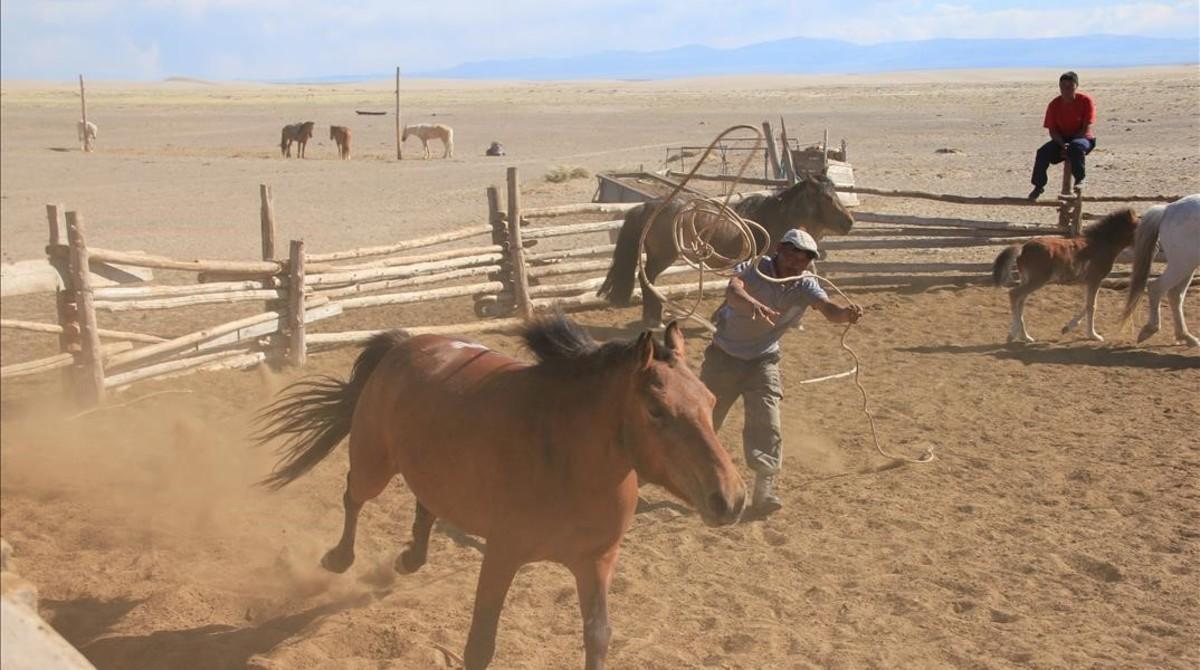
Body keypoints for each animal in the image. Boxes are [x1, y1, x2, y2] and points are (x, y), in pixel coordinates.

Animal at [258, 316, 744, 670]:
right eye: (656, 410)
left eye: (710, 399)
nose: (731, 498)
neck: (566, 458)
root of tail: (403, 344)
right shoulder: (501, 555)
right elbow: (481, 644)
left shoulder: (597, 561)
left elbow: (598, 637)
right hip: (373, 464)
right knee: (353, 496)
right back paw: (338, 558)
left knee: (425, 506)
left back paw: (410, 558)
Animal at [597, 176, 854, 328]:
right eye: (827, 197)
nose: (849, 222)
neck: (778, 220)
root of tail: (649, 205)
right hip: (662, 256)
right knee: (647, 278)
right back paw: (654, 319)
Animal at [993, 208, 1142, 345]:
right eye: (1139, 228)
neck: (1100, 245)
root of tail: (1023, 248)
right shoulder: (1095, 280)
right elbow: (1092, 306)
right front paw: (1093, 335)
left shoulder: (1087, 282)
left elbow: (1087, 304)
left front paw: (1067, 328)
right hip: (1037, 280)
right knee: (1014, 294)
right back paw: (1014, 335)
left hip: (1026, 279)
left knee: (1021, 301)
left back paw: (1025, 336)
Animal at [1113, 194, 1200, 348]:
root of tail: (1168, 209)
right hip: (1182, 265)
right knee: (1156, 287)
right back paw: (1150, 329)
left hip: (1187, 266)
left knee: (1175, 295)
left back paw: (1186, 336)